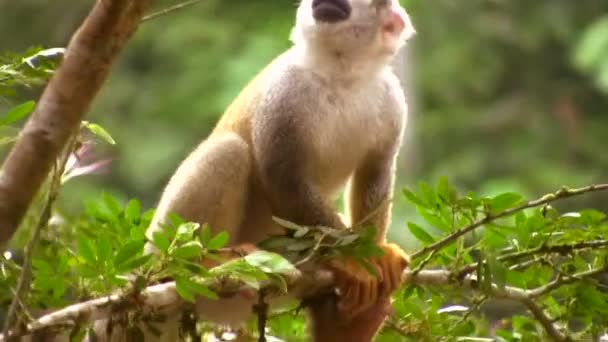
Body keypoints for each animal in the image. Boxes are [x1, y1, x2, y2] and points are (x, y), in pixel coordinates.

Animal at [139, 0, 414, 340]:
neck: (341, 72)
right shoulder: (284, 90)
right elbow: (283, 178)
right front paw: (352, 258)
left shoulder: (392, 98)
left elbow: (375, 170)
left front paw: (373, 250)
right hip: (161, 245)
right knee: (228, 150)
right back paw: (202, 262)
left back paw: (352, 322)